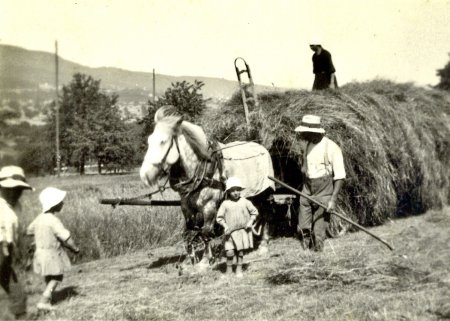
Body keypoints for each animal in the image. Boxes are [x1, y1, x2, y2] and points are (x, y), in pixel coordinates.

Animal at [141, 105, 274, 268]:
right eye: (149, 141)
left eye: (163, 141)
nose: (145, 175)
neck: (200, 168)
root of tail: (261, 146)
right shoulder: (186, 207)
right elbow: (189, 231)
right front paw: (189, 259)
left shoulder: (209, 206)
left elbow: (205, 231)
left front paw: (204, 261)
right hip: (251, 195)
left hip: (264, 192)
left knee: (266, 215)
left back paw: (263, 246)